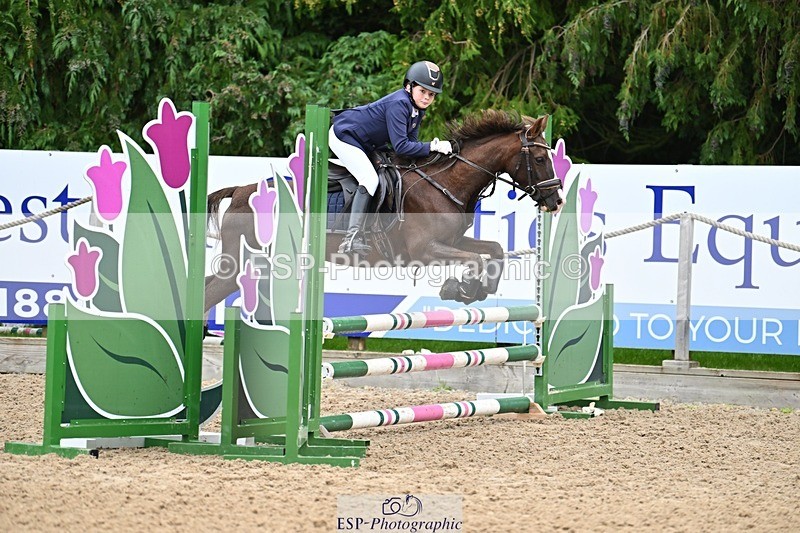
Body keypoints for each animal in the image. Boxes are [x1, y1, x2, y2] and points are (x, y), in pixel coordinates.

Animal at [204, 110, 561, 311]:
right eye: (539, 158)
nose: (556, 201)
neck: (445, 183)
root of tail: (241, 191)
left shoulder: (453, 241)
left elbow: (494, 250)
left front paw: (476, 290)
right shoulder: (425, 250)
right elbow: (477, 259)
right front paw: (460, 288)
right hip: (246, 261)